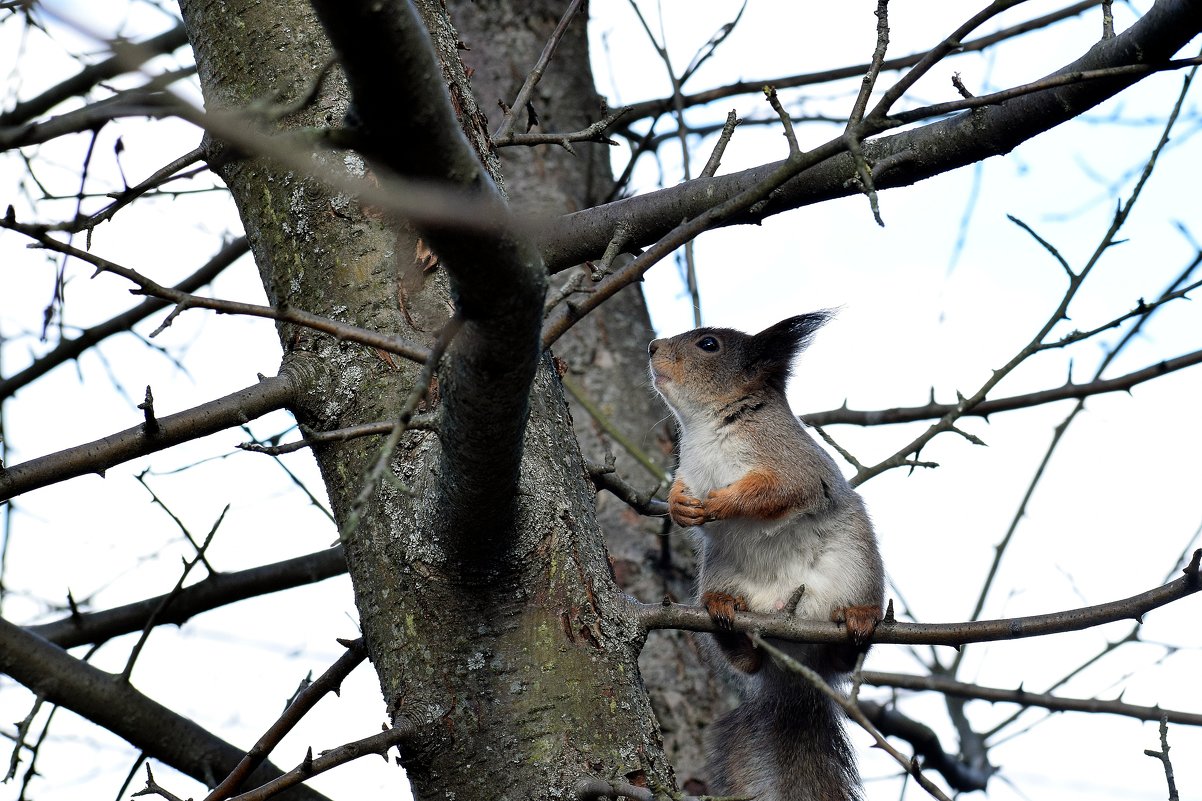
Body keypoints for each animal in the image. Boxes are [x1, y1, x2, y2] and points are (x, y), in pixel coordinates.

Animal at [649, 310, 884, 798]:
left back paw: (859, 621)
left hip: (857, 567)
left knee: (846, 658)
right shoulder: (686, 468)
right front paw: (681, 506)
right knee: (746, 660)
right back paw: (727, 614)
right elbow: (680, 491)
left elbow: (775, 491)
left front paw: (724, 503)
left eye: (709, 344)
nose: (652, 347)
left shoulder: (793, 464)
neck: (707, 428)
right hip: (716, 574)